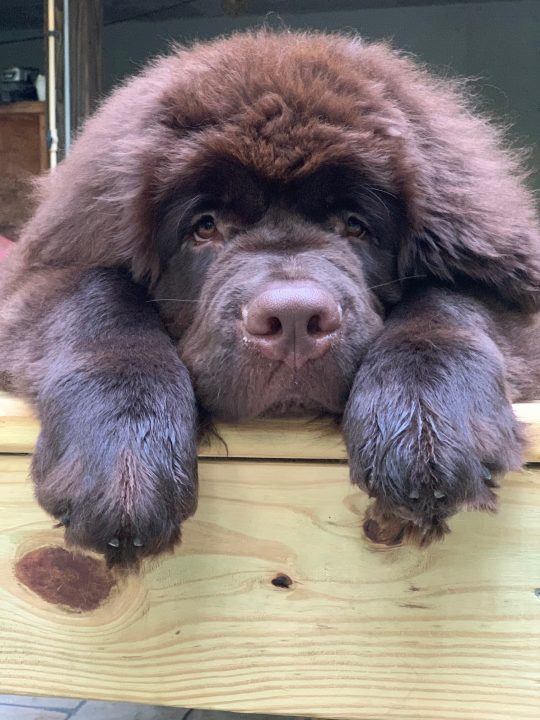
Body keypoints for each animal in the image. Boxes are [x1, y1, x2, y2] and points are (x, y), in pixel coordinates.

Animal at [1, 31, 540, 564]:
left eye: (355, 225)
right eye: (205, 227)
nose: (295, 318)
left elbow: (448, 296)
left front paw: (424, 422)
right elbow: (95, 293)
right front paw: (124, 451)